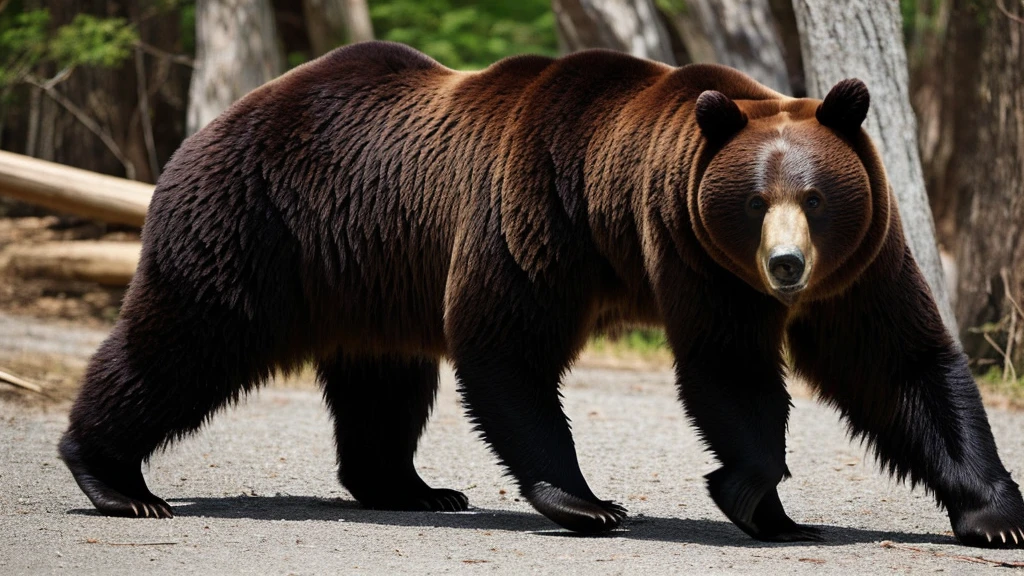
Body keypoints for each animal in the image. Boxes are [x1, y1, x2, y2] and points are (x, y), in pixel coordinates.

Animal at [59, 41, 1024, 545]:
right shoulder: (557, 220)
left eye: (816, 197)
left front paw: (993, 513)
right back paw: (114, 476)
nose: (786, 267)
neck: (611, 218)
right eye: (756, 200)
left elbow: (898, 362)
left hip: (369, 269)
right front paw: (604, 499)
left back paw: (412, 486)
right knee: (186, 341)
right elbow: (536, 351)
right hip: (259, 229)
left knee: (384, 380)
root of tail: (215, 121)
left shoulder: (855, 263)